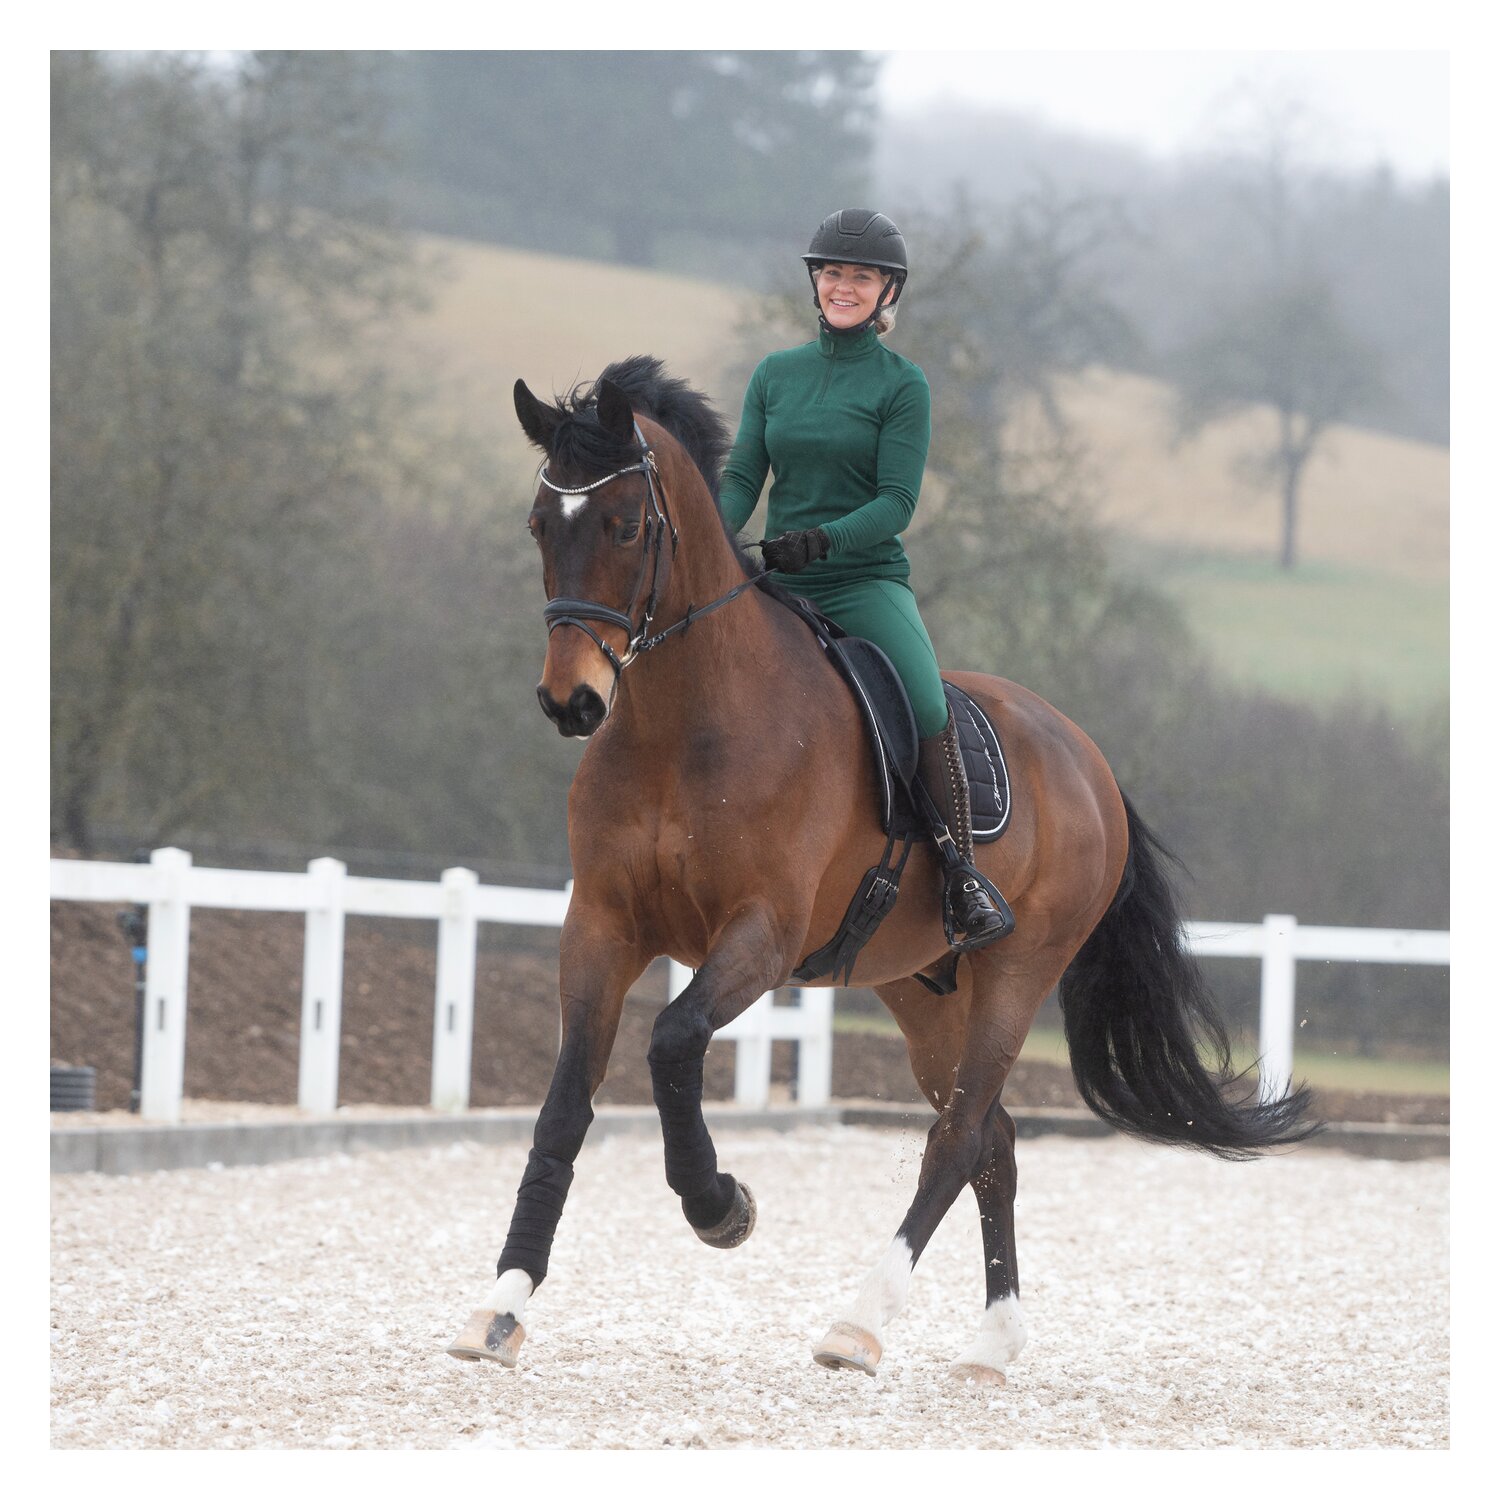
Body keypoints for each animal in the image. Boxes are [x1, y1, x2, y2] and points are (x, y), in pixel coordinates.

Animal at [446, 355, 1315, 1382]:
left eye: (624, 524)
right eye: (542, 525)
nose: (571, 702)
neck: (681, 722)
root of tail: (1085, 757)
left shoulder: (763, 935)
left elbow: (672, 1042)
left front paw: (719, 1205)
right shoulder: (602, 928)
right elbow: (562, 1111)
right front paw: (502, 1306)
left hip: (1017, 973)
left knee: (959, 1136)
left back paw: (859, 1324)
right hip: (922, 990)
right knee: (994, 1141)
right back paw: (992, 1342)